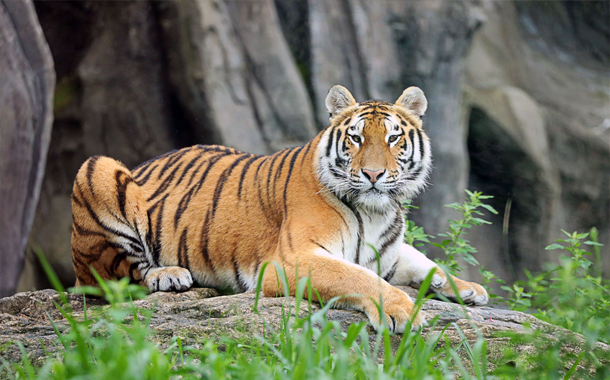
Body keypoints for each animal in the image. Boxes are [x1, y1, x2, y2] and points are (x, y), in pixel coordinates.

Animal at [71, 84, 486, 332]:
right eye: (355, 139)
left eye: (393, 138)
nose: (373, 173)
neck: (375, 211)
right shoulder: (291, 260)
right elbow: (357, 278)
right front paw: (403, 310)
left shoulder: (387, 252)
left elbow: (425, 262)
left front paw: (467, 289)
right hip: (96, 168)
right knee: (114, 277)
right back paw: (167, 275)